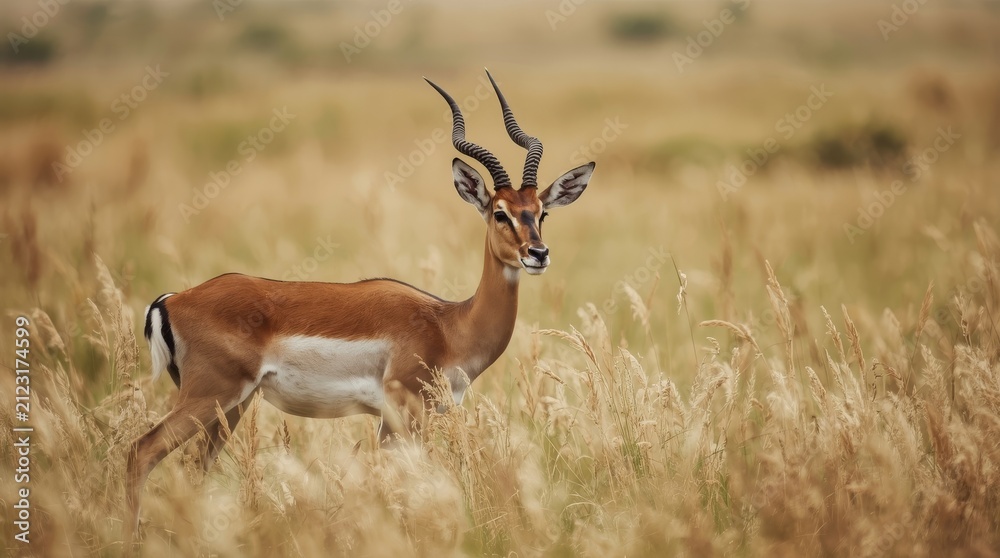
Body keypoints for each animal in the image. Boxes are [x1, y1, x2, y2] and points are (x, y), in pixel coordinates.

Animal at [126, 71, 594, 544]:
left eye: (540, 212)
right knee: (141, 451)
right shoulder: (407, 411)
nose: (537, 254)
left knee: (193, 468)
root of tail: (173, 299)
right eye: (500, 213)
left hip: (231, 407)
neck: (449, 325)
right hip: (210, 397)